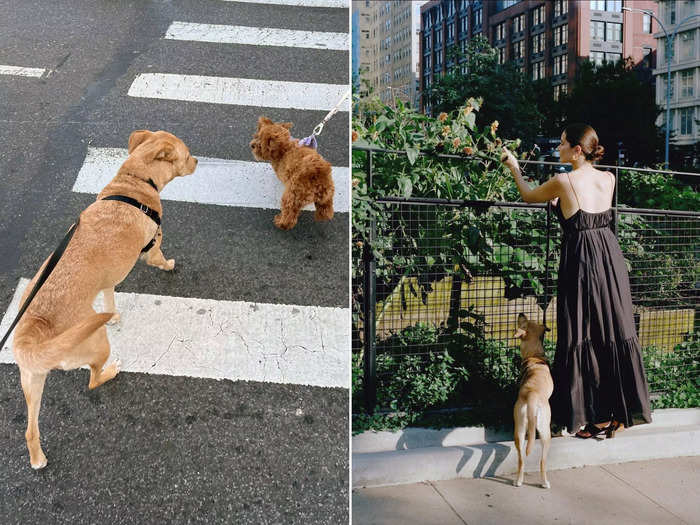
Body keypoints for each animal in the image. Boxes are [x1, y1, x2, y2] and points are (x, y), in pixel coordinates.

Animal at [14, 130, 200, 466]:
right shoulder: (152, 249)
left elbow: (110, 295)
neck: (135, 180)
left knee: (30, 430)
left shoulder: (107, 281)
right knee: (93, 379)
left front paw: (114, 314)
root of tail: (35, 325)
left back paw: (38, 458)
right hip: (96, 343)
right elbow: (160, 260)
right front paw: (170, 266)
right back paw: (112, 370)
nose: (198, 161)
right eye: (187, 154)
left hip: (32, 380)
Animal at [512, 312, 556, 488]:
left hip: (519, 430)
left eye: (526, 322)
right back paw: (545, 482)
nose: (521, 313)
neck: (535, 356)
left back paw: (519, 481)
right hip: (545, 431)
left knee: (521, 459)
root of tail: (532, 395)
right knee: (542, 461)